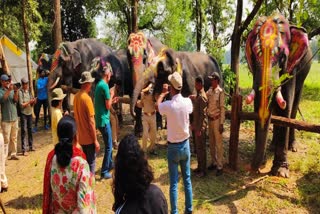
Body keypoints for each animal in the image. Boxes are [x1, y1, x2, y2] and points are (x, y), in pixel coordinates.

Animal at [246, 13, 312, 177]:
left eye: (282, 57)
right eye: (254, 56)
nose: (252, 168)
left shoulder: (291, 68)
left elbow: (286, 105)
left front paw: (280, 171)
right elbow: (259, 106)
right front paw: (263, 162)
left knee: (294, 106)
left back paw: (292, 146)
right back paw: (272, 146)